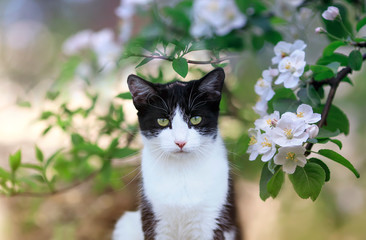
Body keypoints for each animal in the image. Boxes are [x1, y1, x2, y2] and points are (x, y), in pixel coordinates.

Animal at [113, 68, 242, 240]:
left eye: (196, 119)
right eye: (162, 121)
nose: (180, 142)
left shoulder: (213, 217)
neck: (182, 171)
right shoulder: (154, 216)